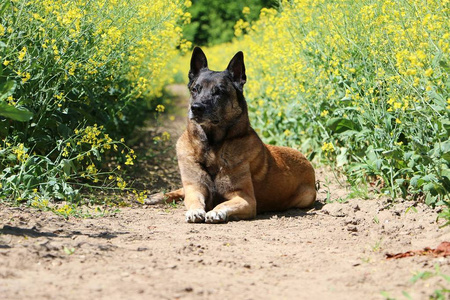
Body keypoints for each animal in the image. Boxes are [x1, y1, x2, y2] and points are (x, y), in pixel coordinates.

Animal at [149, 47, 316, 223]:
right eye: (195, 89)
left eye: (219, 92)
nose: (196, 108)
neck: (212, 146)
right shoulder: (195, 188)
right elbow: (193, 200)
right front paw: (194, 211)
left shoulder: (246, 199)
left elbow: (223, 204)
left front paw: (216, 212)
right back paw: (157, 196)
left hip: (306, 197)